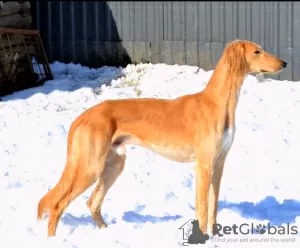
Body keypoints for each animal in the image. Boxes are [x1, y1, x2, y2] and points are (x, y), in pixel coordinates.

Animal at [37, 39, 286, 237]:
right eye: (257, 51)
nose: (284, 63)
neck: (218, 103)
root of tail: (83, 115)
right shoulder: (204, 166)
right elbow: (203, 209)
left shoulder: (219, 164)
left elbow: (213, 207)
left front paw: (215, 237)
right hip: (90, 166)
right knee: (58, 205)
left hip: (114, 164)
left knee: (92, 202)